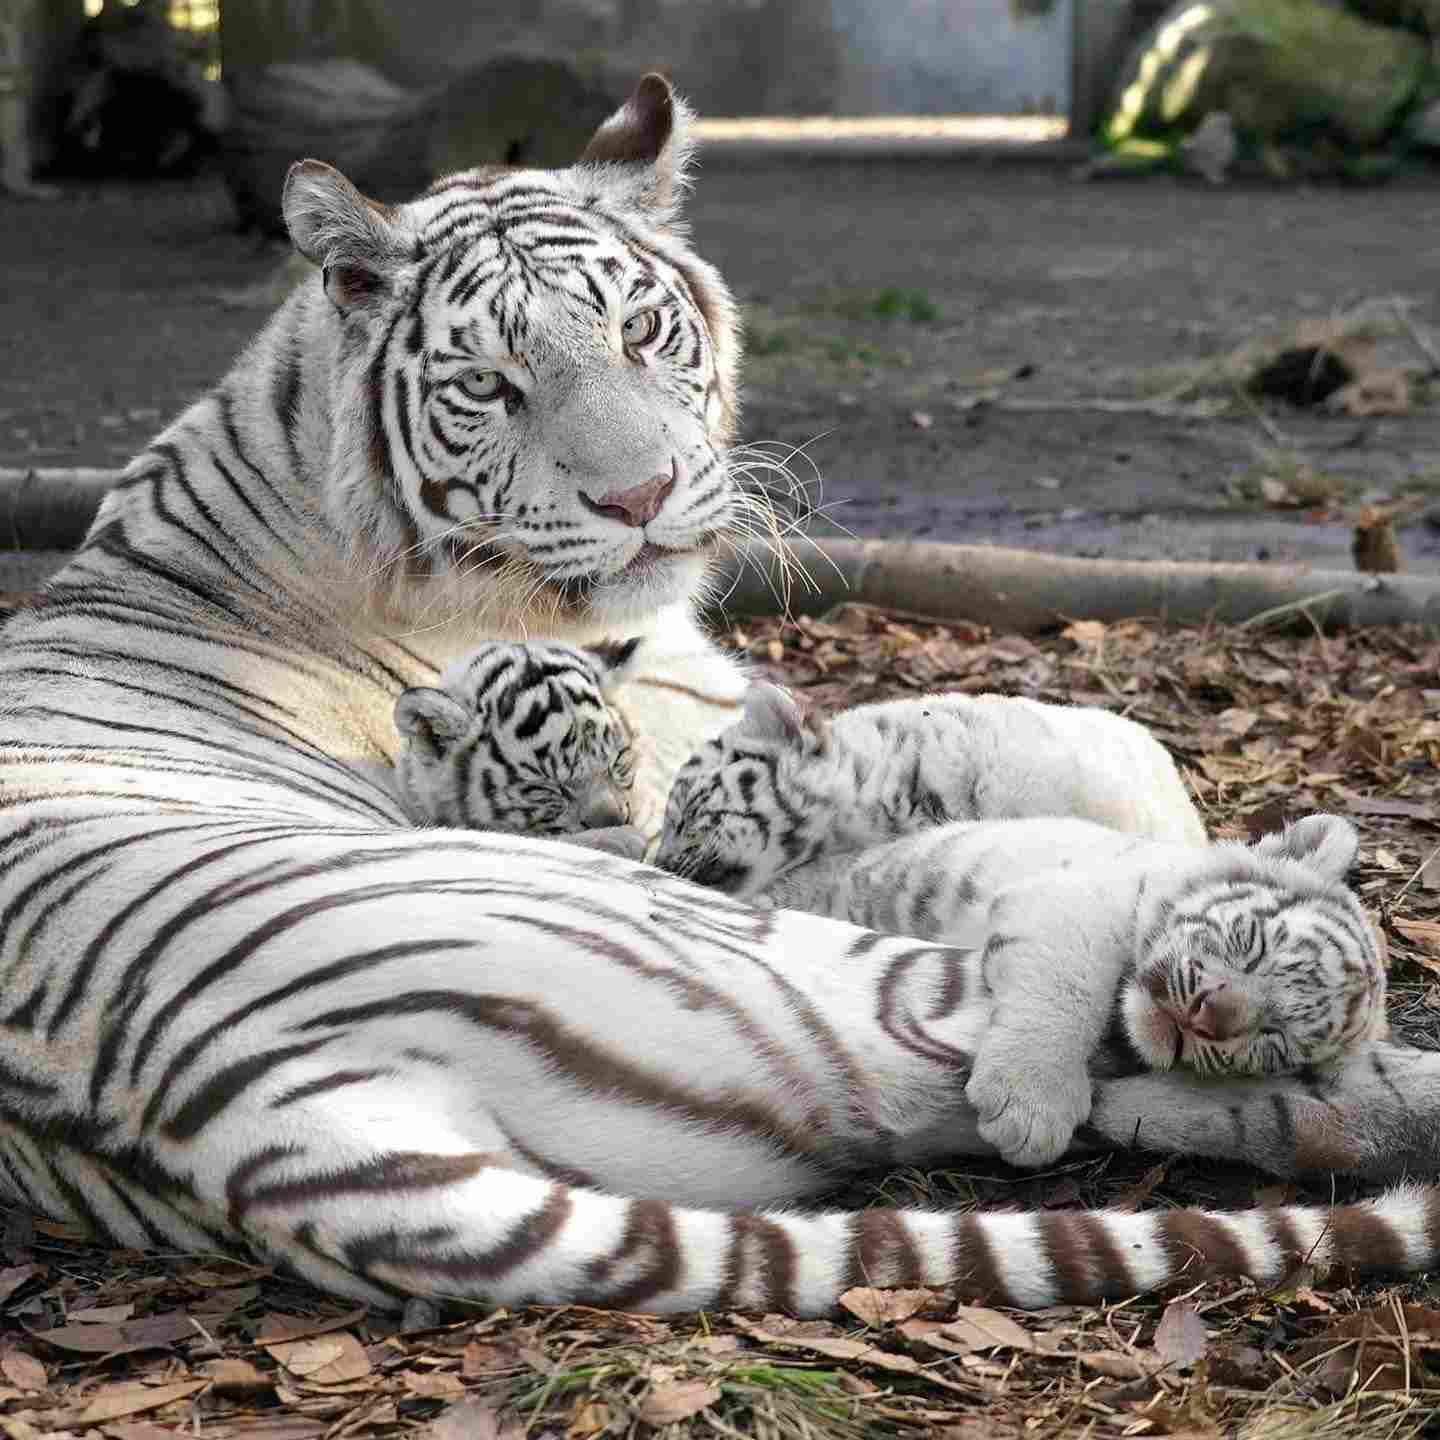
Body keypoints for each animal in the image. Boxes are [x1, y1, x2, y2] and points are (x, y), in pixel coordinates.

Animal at [0, 73, 1437, 1319]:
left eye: (642, 332)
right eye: (491, 385)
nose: (637, 498)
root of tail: (266, 1114)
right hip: (831, 961)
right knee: (1221, 1076)